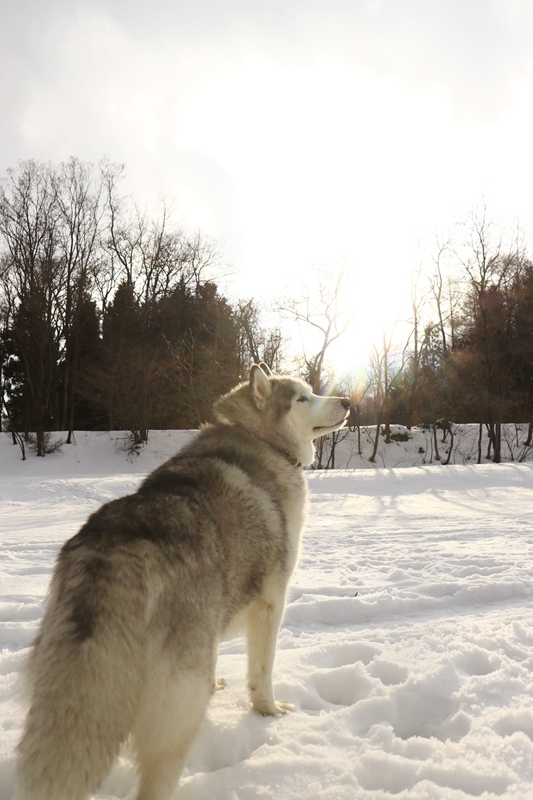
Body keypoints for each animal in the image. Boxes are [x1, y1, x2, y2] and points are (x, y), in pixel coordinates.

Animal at [13, 364, 350, 800]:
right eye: (302, 398)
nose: (348, 401)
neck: (261, 439)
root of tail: (116, 551)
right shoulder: (271, 603)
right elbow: (262, 673)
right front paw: (270, 712)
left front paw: (221, 684)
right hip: (178, 707)